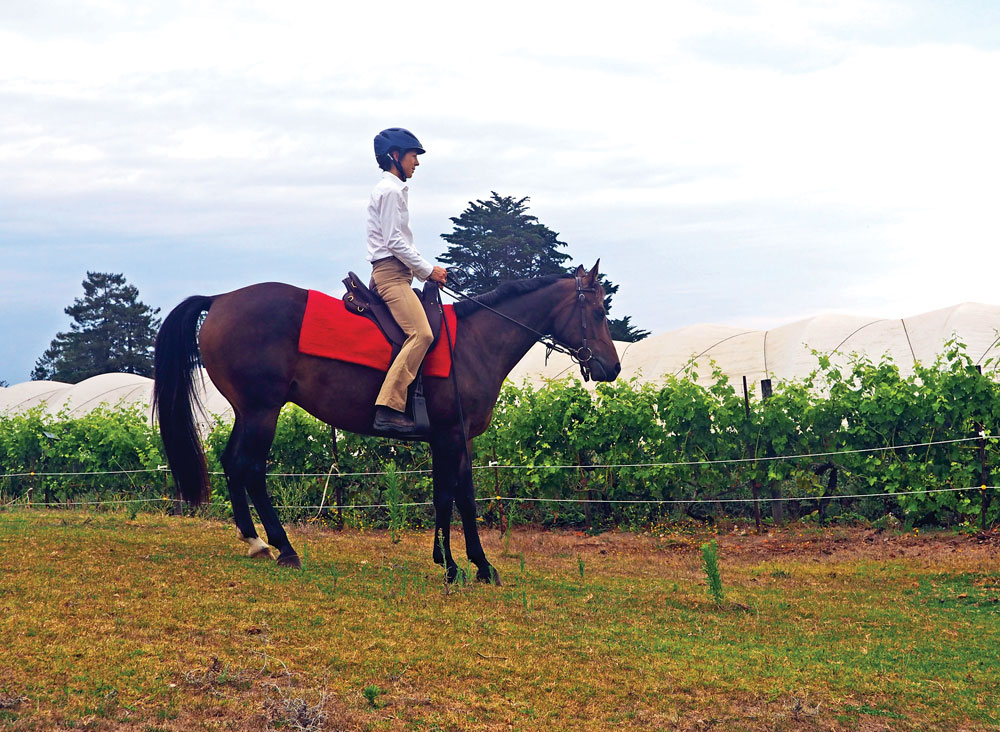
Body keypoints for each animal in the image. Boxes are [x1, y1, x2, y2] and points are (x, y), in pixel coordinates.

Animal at [152, 260, 620, 580]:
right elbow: (448, 497)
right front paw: (454, 566)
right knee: (249, 469)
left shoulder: (457, 439)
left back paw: (255, 542)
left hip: (248, 412)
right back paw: (282, 547)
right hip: (262, 412)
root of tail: (221, 300)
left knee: (233, 465)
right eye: (599, 313)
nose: (612, 367)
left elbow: (460, 497)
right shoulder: (450, 436)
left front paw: (475, 564)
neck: (474, 342)